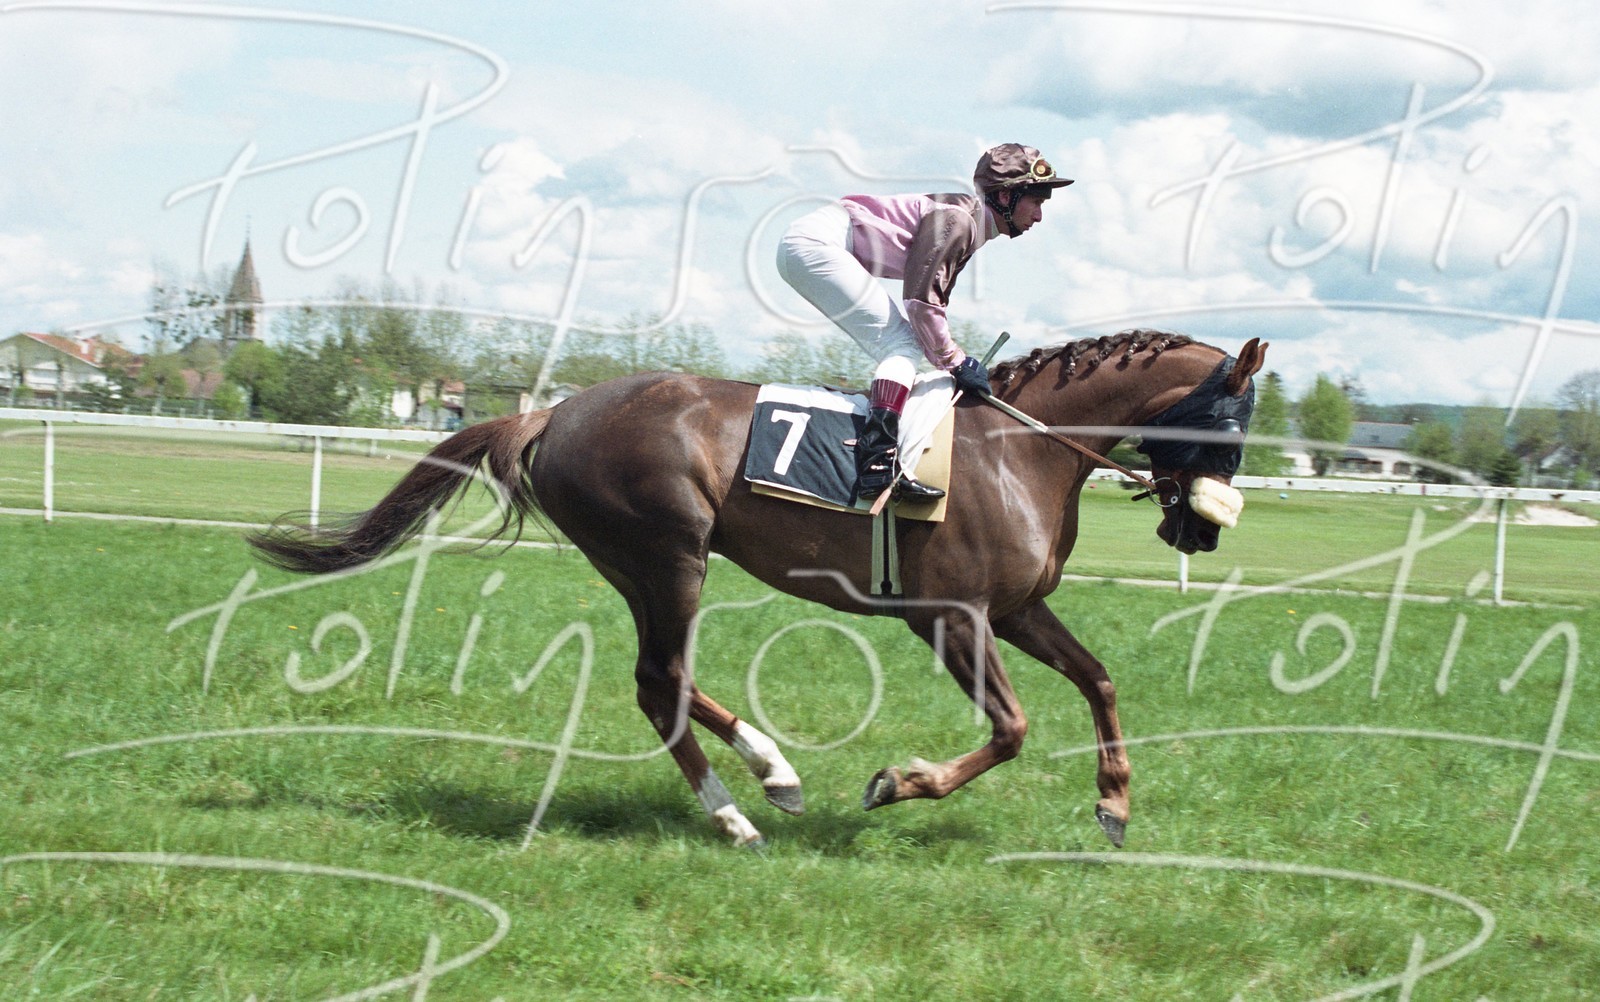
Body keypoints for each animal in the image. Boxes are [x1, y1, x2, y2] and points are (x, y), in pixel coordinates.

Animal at [249, 328, 1267, 849]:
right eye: (1233, 422)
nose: (1203, 528)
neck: (1018, 449)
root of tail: (555, 412)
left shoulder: (1017, 608)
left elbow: (1098, 679)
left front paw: (1116, 804)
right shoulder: (950, 616)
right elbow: (1012, 729)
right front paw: (897, 783)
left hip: (643, 565)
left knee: (660, 679)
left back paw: (769, 776)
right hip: (670, 554)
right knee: (659, 681)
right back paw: (743, 808)